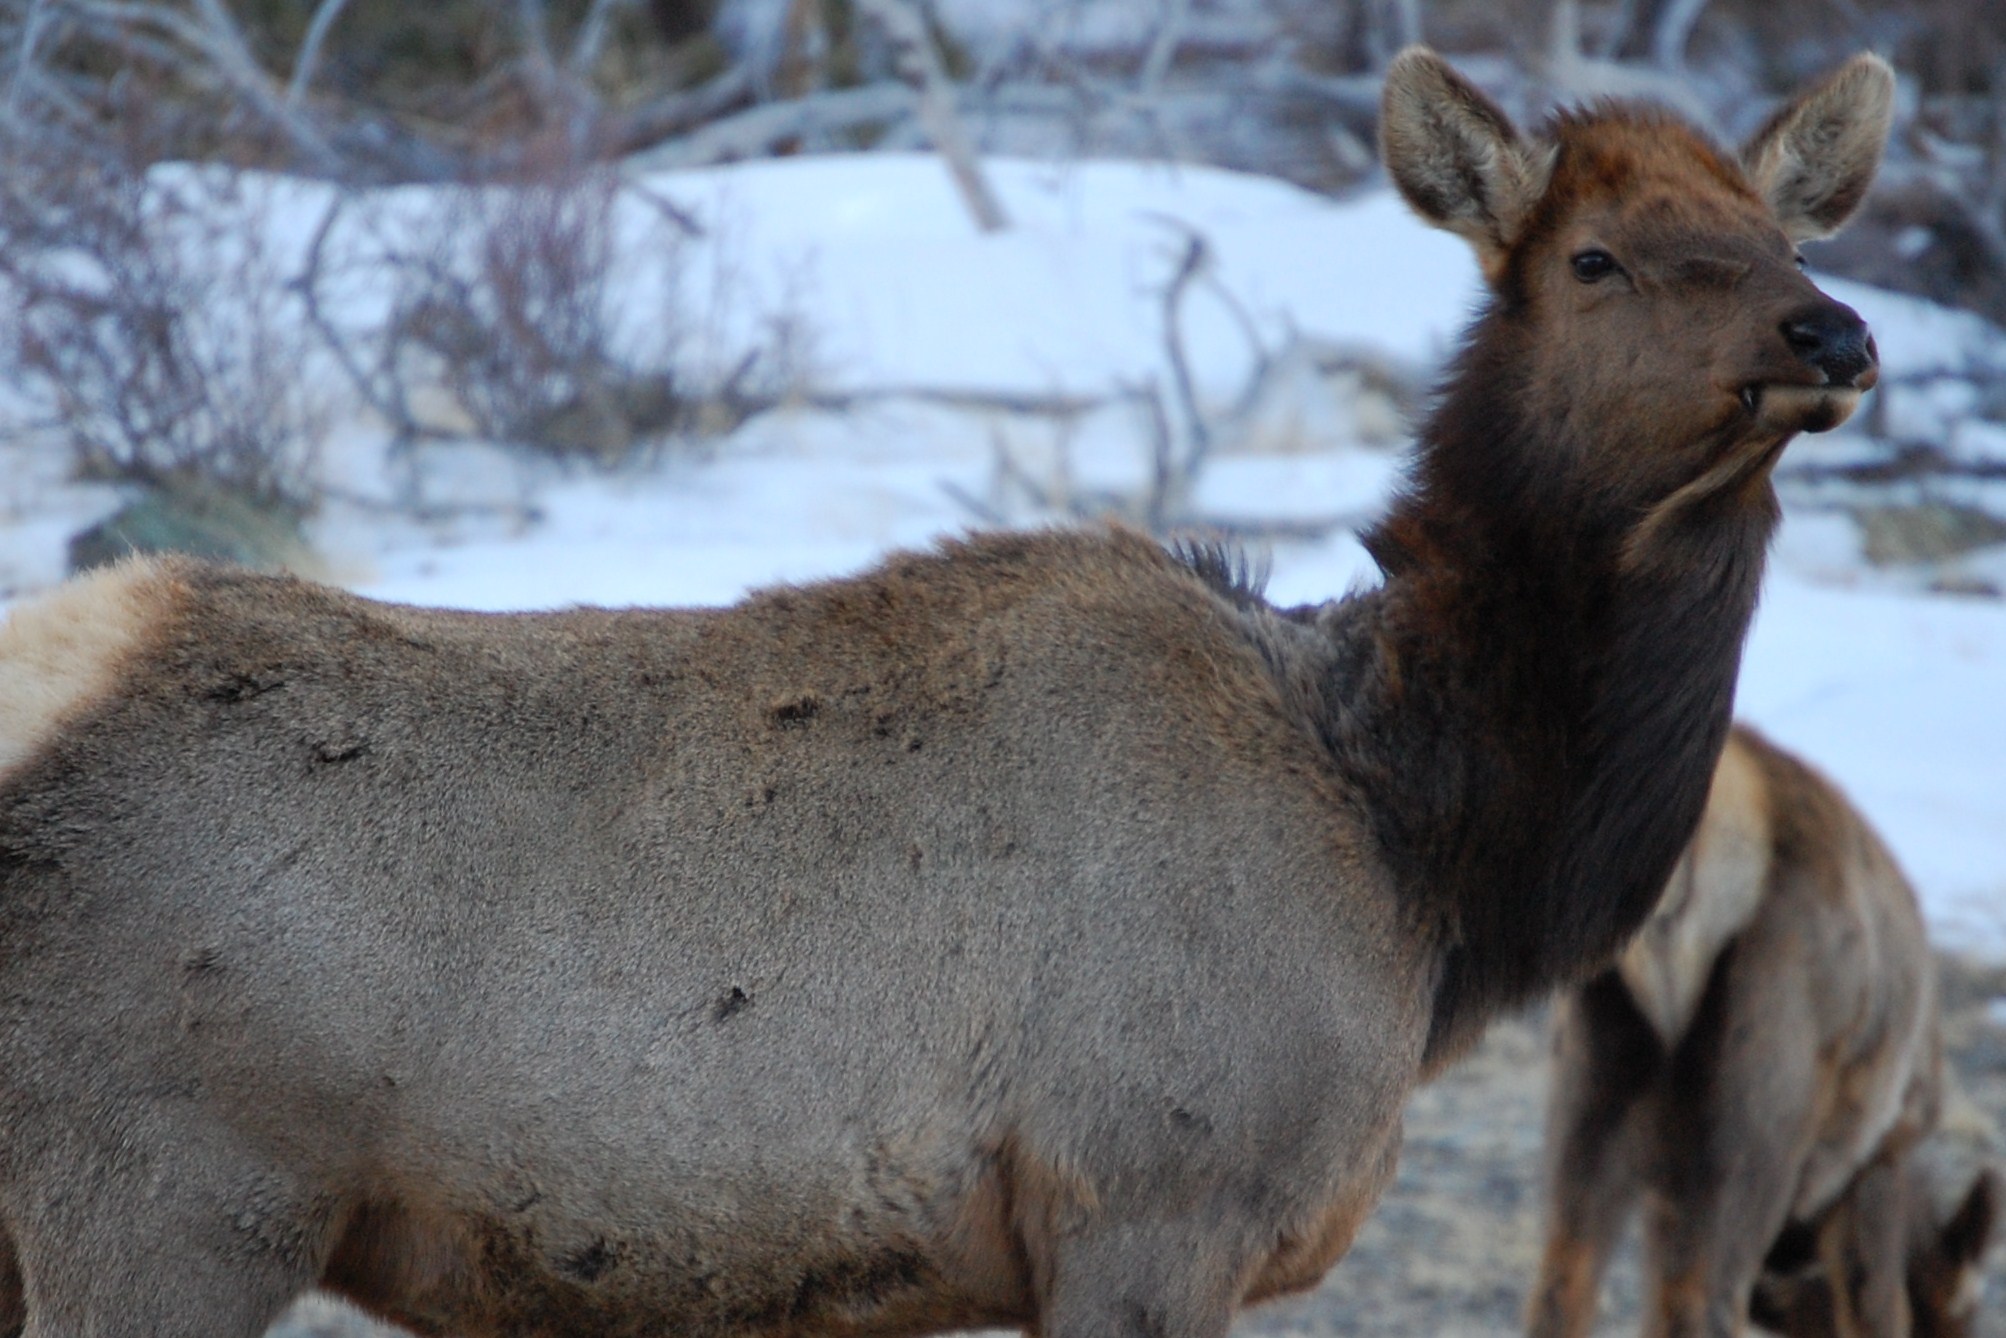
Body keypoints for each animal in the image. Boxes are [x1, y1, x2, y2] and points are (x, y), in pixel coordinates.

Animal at [0, 48, 1891, 1338]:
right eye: (1594, 257)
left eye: (1775, 228)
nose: (1835, 334)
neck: (1427, 864)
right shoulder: (1152, 1194)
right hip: (166, 1198)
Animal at [1527, 725, 2001, 1338]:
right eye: (1955, 1318)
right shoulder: (1882, 1156)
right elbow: (1878, 1309)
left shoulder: (1665, 1188)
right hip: (1762, 1107)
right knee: (1706, 1299)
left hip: (1594, 1069)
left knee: (1564, 1279)